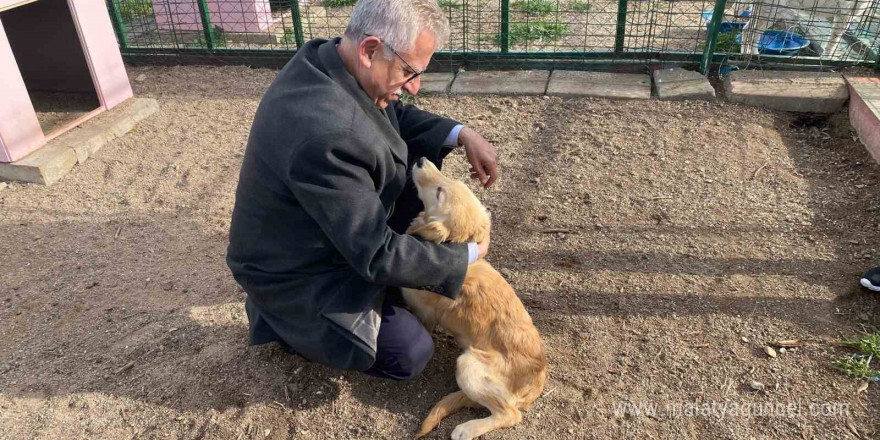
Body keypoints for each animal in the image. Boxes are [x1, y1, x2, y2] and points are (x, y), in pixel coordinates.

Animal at [402, 158, 548, 440]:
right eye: (450, 180)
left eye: (439, 192)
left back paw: (466, 429)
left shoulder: (422, 311)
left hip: (467, 366)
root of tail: (536, 383)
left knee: (509, 414)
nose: (421, 160)